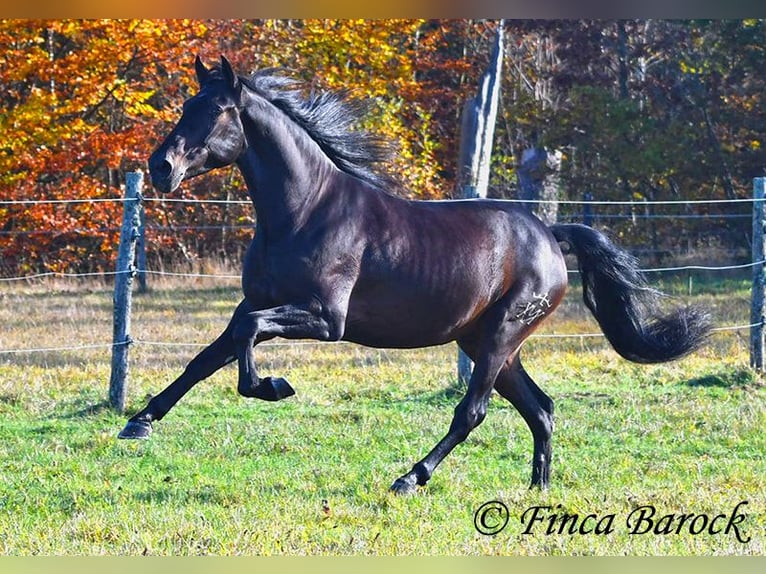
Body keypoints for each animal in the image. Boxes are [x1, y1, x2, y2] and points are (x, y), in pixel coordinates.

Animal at [118, 57, 712, 496]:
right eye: (187, 105)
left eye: (218, 110)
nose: (161, 167)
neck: (305, 210)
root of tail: (548, 232)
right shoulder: (255, 303)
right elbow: (207, 356)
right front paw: (139, 421)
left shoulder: (325, 319)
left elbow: (245, 339)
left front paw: (271, 386)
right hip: (485, 342)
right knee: (540, 409)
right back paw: (537, 489)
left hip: (501, 337)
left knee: (472, 412)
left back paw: (410, 477)